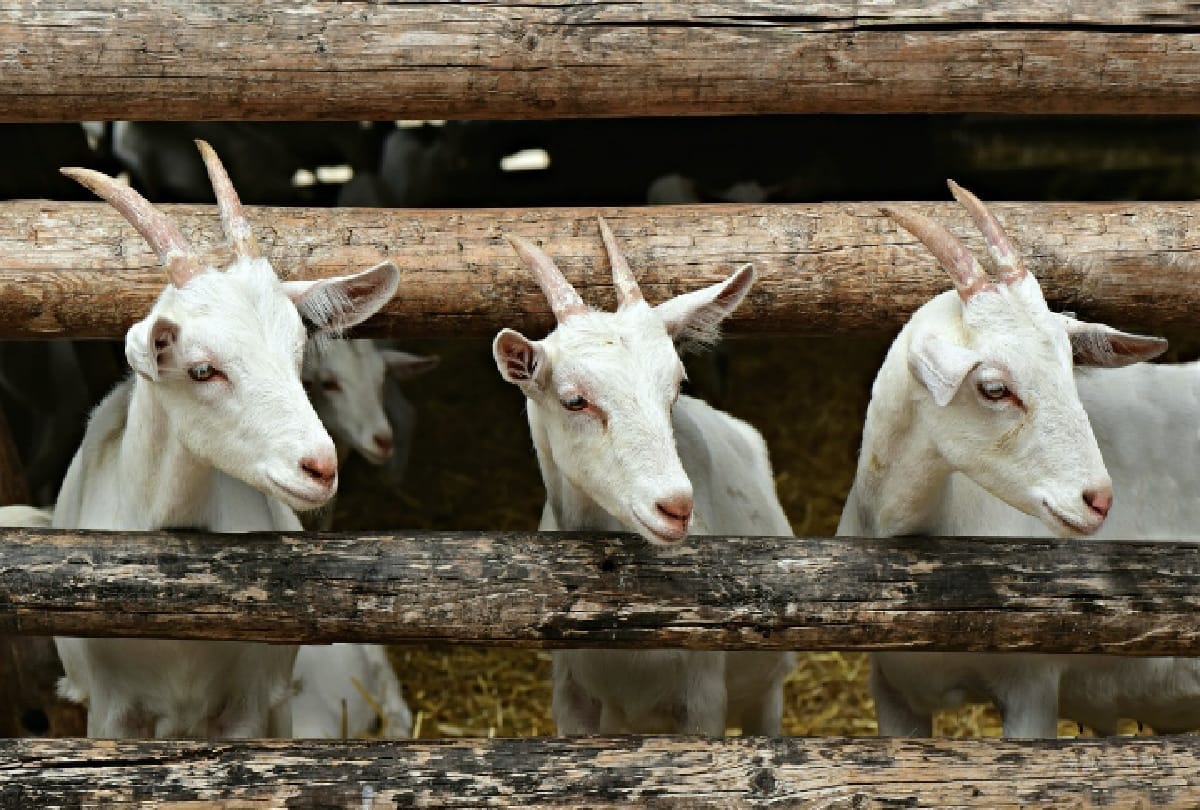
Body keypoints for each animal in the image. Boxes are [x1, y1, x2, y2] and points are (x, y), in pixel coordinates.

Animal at [493, 219, 794, 735]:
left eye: (676, 384)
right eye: (574, 400)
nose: (675, 506)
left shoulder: (703, 697)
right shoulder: (570, 693)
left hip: (766, 690)